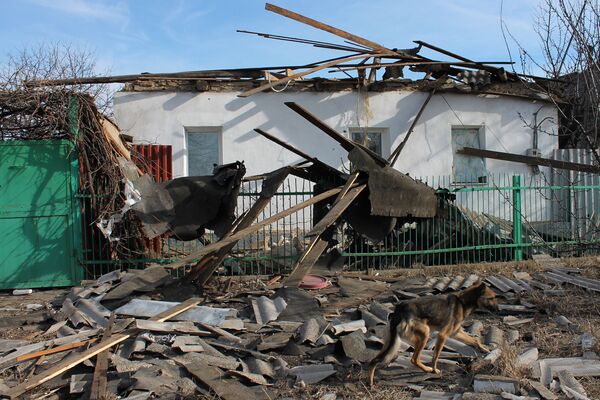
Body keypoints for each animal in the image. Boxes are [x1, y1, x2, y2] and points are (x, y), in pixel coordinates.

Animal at [368, 282, 500, 386]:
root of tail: (400, 308)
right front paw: (434, 370)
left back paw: (370, 382)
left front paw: (484, 349)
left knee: (374, 360)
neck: (462, 302)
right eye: (491, 298)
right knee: (414, 359)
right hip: (424, 334)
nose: (499, 310)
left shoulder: (456, 333)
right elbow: (435, 356)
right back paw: (428, 370)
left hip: (391, 341)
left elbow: (475, 340)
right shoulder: (443, 335)